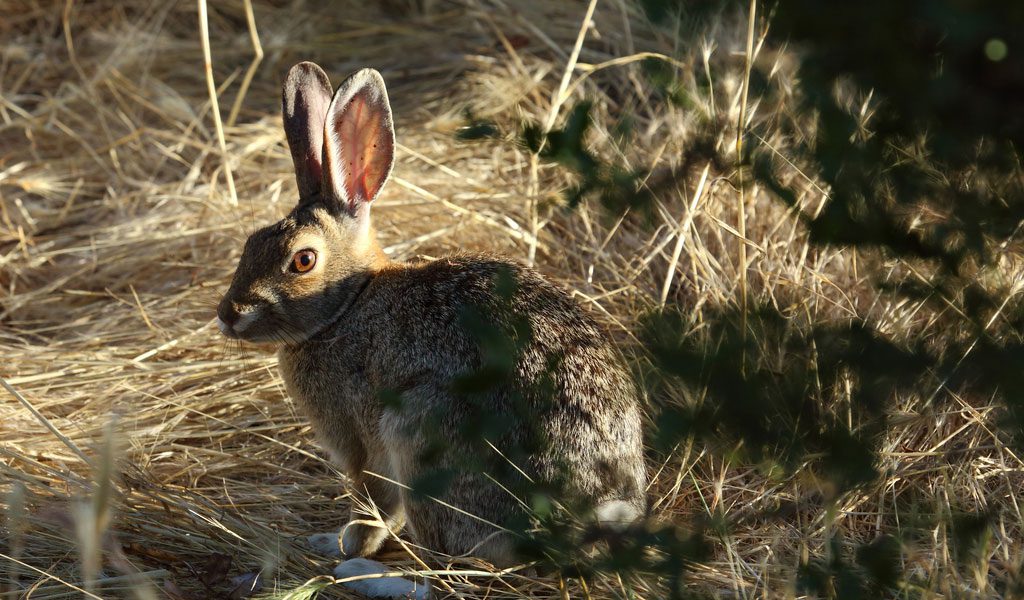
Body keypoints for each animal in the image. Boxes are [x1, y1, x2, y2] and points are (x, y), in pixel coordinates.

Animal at [217, 62, 647, 593]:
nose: (228, 313)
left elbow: (372, 506)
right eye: (251, 242)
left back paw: (363, 574)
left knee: (451, 571)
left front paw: (342, 544)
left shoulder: (362, 442)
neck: (348, 303)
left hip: (421, 439)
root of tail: (579, 521)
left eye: (303, 261)